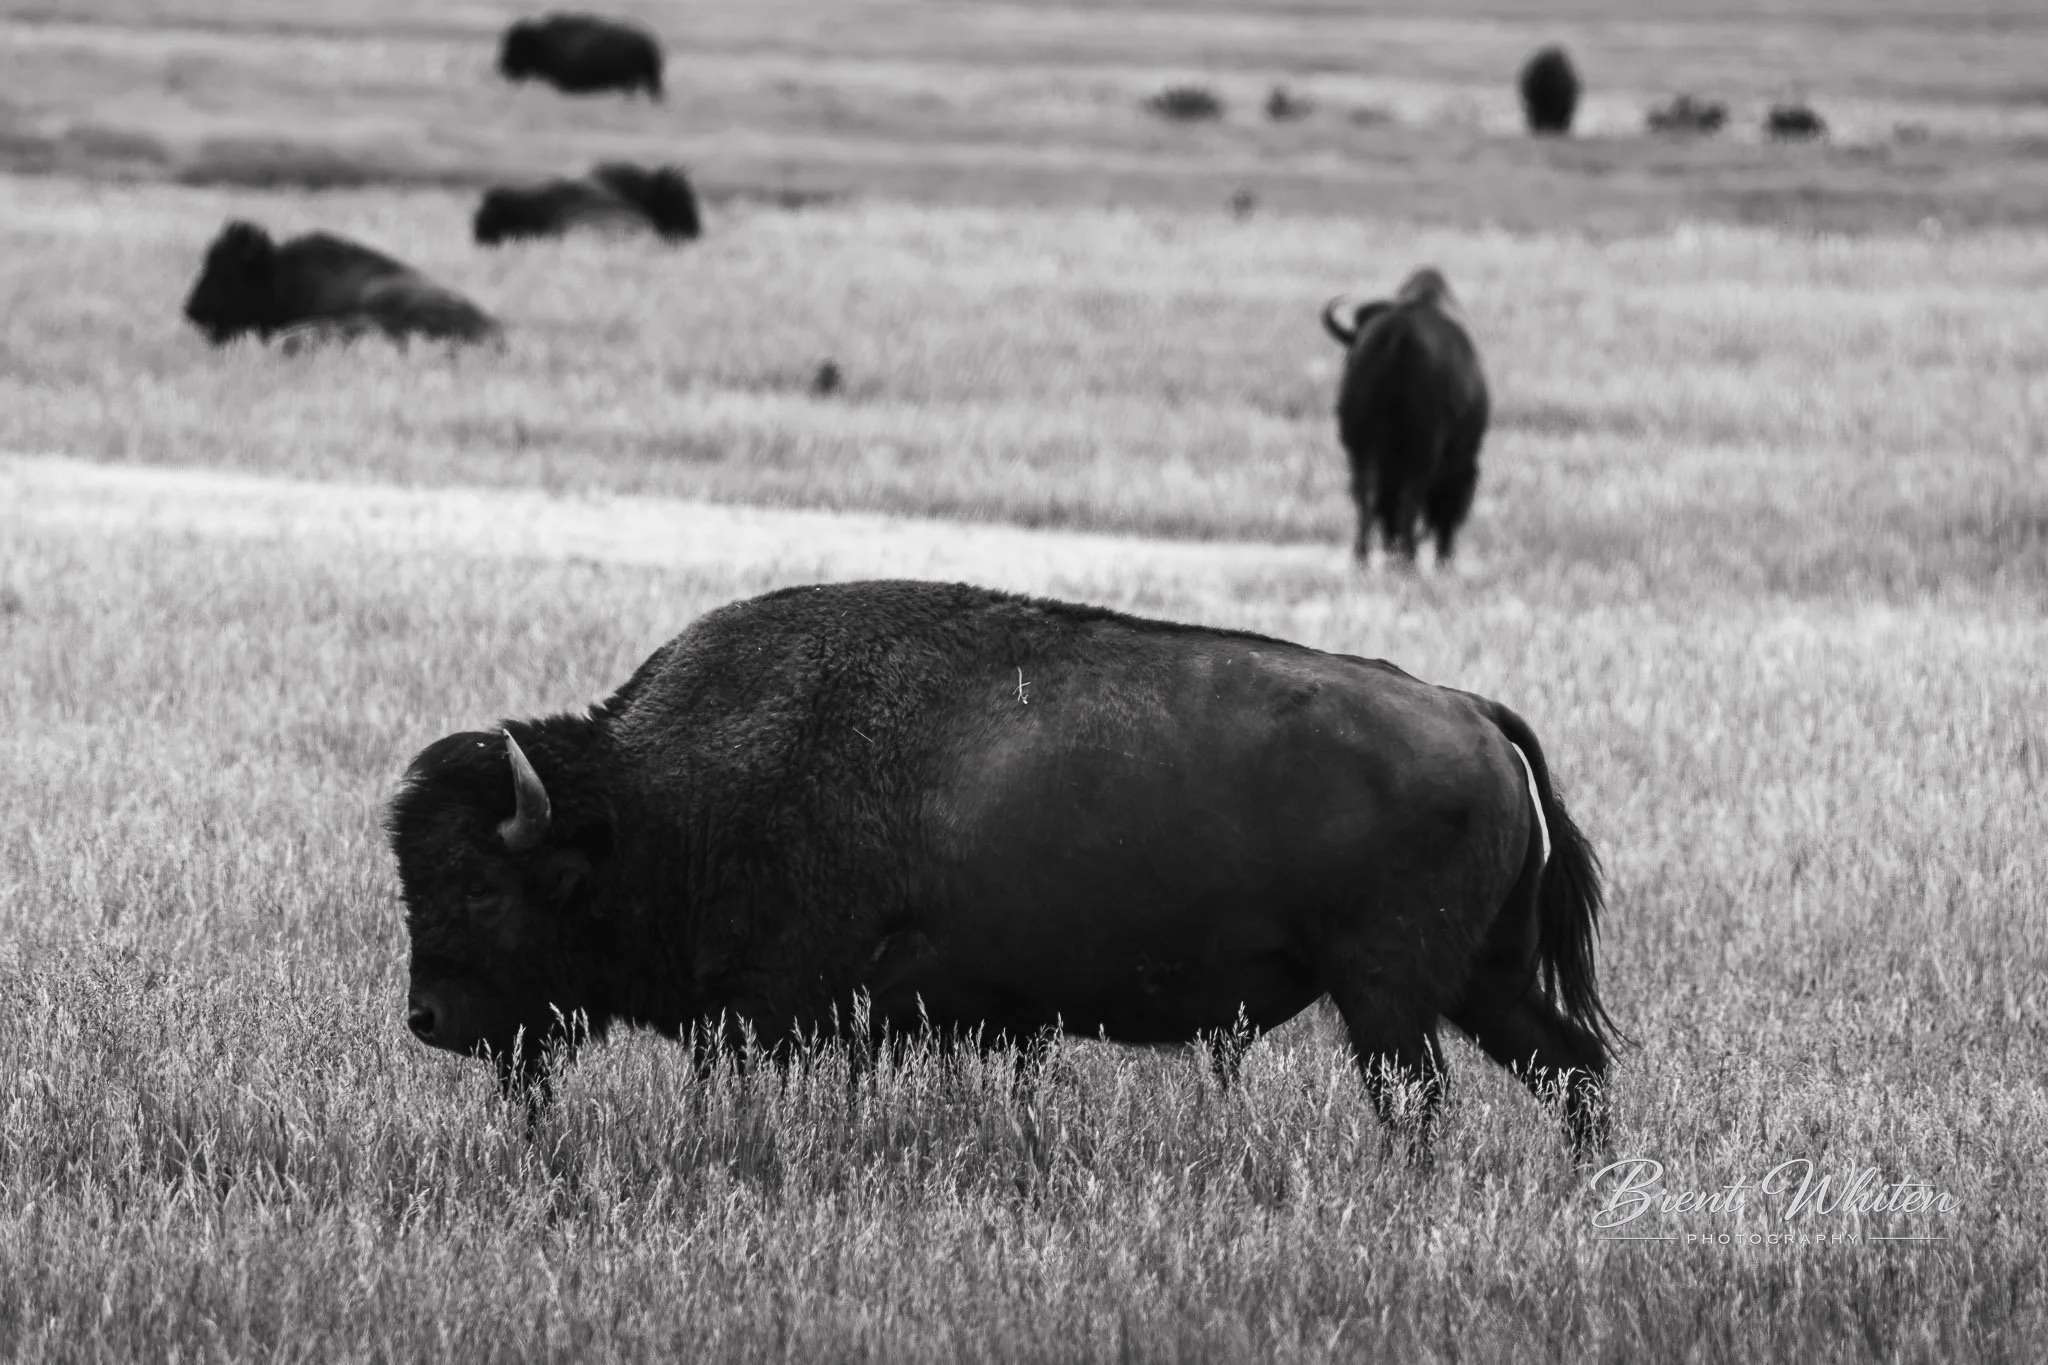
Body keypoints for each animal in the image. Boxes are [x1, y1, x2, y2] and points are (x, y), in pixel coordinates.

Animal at [387, 580, 1617, 1159]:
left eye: (483, 887)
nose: (428, 1017)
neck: (657, 796)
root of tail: (1470, 712)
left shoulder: (772, 1015)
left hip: (1389, 996)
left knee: (1424, 1098)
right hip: (1482, 983)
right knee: (1574, 1067)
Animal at [1320, 268, 1490, 567]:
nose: (1447, 553)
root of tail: (1399, 332)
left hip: (1361, 444)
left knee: (1368, 494)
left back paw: (1365, 555)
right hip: (1423, 448)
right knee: (1408, 497)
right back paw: (1408, 557)